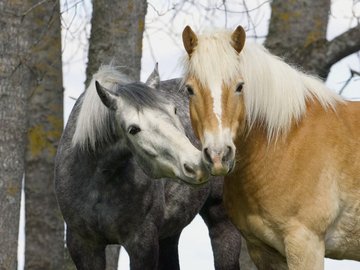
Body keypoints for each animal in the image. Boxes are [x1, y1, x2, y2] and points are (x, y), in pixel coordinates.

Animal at [54, 66, 242, 270]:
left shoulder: (142, 242)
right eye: (133, 129)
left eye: (174, 110)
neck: (99, 180)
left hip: (220, 219)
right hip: (170, 232)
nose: (196, 165)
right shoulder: (83, 245)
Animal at [181, 25, 360, 270]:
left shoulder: (306, 244)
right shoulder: (263, 251)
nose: (218, 156)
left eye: (239, 86)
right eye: (190, 90)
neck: (286, 141)